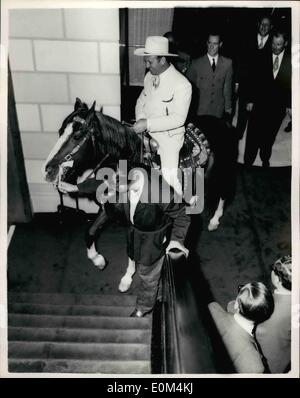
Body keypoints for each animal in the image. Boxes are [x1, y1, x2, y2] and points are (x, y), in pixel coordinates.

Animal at [44, 98, 237, 292]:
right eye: (60, 131)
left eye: (77, 136)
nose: (49, 171)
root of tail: (223, 122)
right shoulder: (108, 209)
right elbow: (90, 232)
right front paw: (98, 260)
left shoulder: (132, 221)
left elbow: (131, 249)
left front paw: (127, 278)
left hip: (220, 175)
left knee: (223, 194)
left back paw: (214, 221)